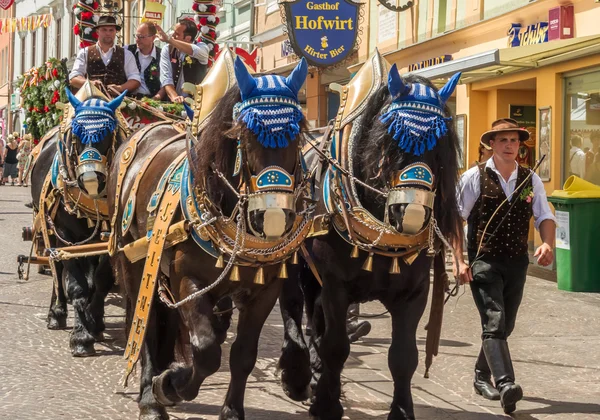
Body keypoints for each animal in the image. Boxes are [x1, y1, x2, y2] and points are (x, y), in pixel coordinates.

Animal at [29, 83, 128, 358]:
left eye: (108, 134)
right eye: (76, 135)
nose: (91, 178)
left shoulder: (109, 239)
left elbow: (101, 282)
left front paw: (94, 323)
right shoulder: (66, 235)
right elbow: (77, 285)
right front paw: (81, 336)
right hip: (48, 228)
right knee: (56, 268)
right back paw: (57, 312)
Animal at [109, 53, 314, 420]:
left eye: (298, 135)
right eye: (246, 135)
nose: (274, 216)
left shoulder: (265, 290)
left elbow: (242, 355)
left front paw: (230, 410)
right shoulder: (186, 280)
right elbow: (206, 351)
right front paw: (169, 386)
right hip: (135, 262)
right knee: (145, 322)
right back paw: (149, 397)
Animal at [278, 54, 462, 418]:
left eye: (441, 147)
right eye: (390, 139)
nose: (413, 213)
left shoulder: (414, 293)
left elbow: (404, 357)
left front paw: (402, 410)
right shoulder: (335, 285)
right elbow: (336, 346)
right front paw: (326, 403)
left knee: (313, 319)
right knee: (293, 308)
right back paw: (297, 375)